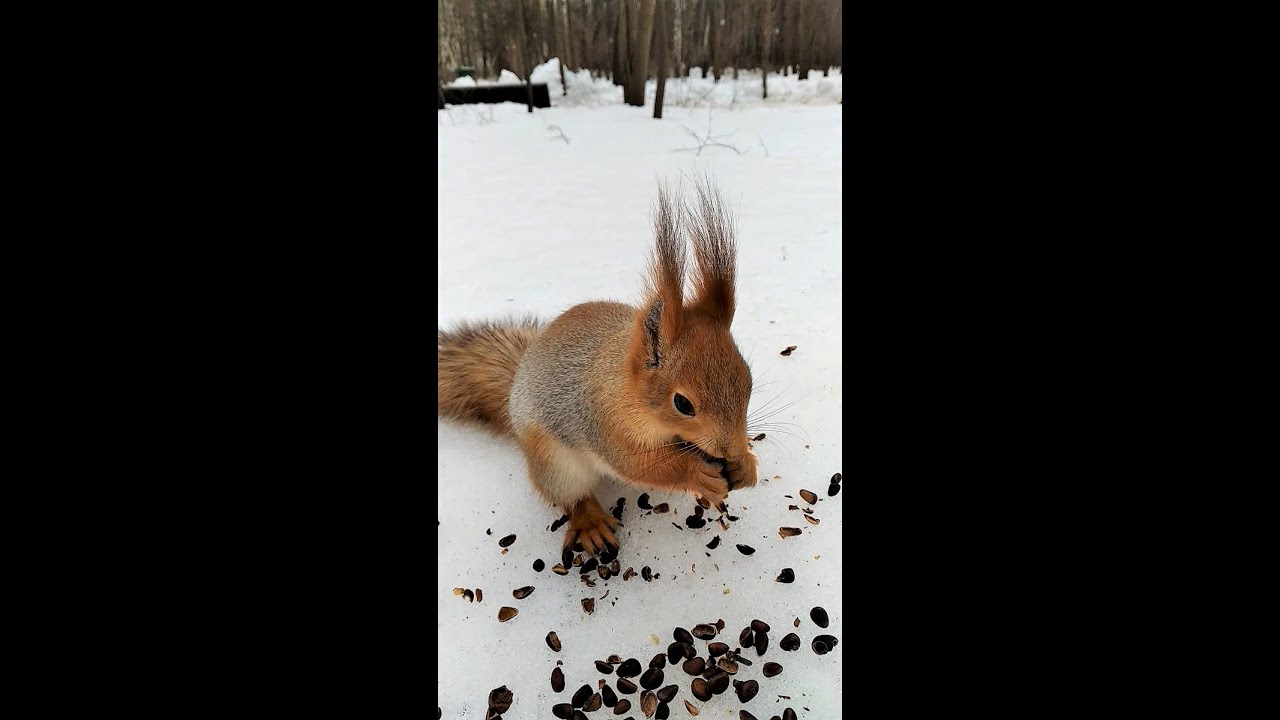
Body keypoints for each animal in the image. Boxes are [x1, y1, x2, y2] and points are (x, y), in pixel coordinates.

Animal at [438, 180, 758, 555]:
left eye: (749, 381)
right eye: (682, 404)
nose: (729, 449)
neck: (627, 387)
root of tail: (514, 389)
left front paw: (745, 464)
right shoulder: (607, 424)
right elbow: (642, 464)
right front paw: (698, 473)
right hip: (554, 463)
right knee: (571, 496)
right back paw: (590, 521)